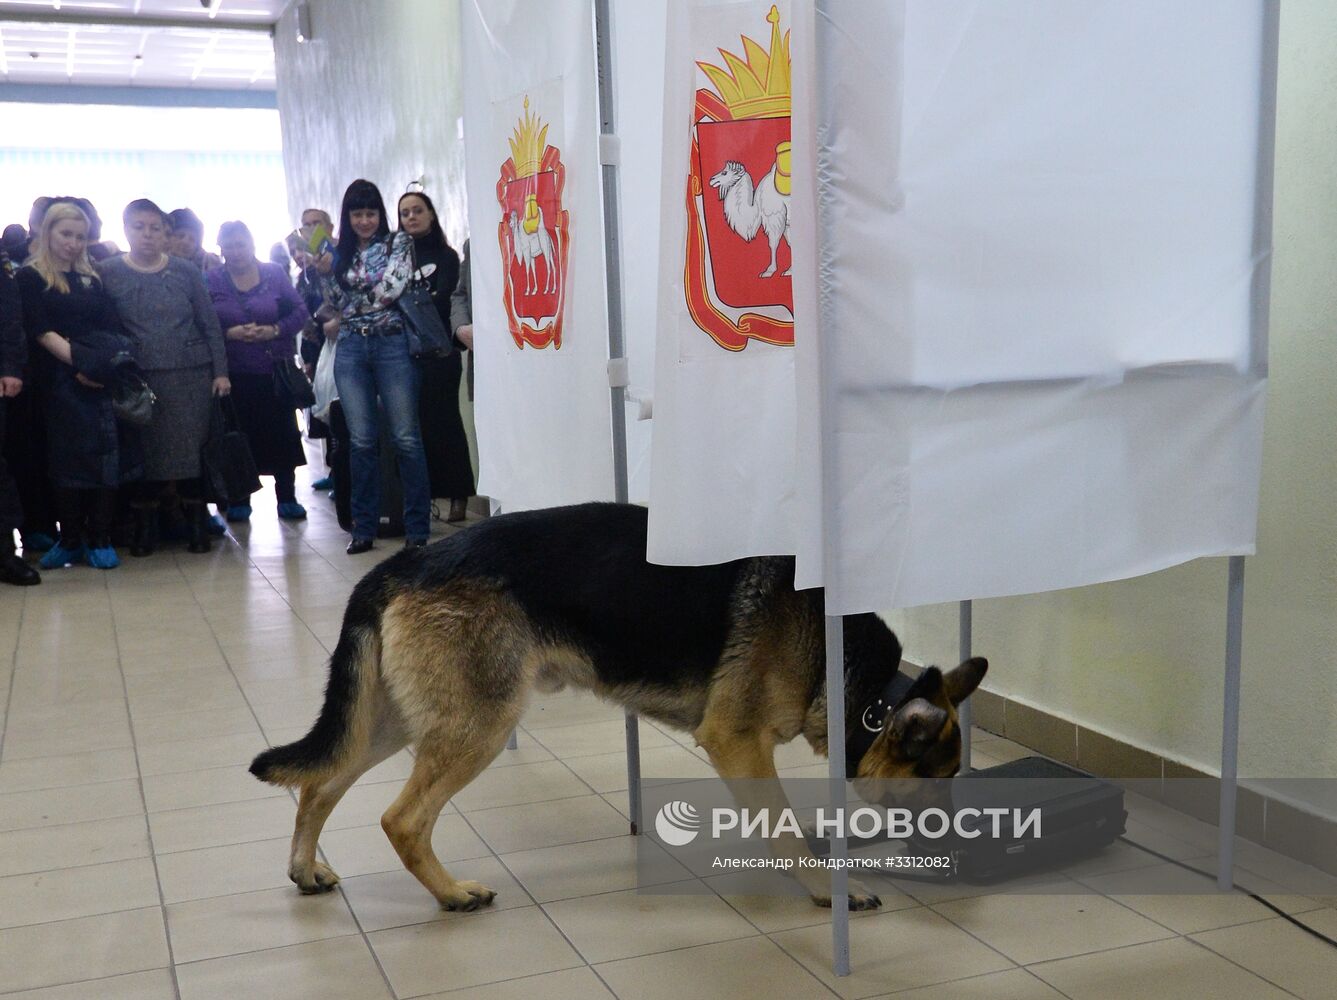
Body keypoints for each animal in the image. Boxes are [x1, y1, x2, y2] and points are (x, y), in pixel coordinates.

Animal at [252, 502, 984, 909]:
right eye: (939, 782)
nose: (969, 844)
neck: (857, 675)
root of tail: (404, 561)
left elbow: (772, 825)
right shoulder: (735, 741)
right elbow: (782, 827)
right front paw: (830, 891)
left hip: (399, 722)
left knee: (319, 784)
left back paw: (304, 870)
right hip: (478, 727)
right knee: (401, 819)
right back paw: (452, 894)